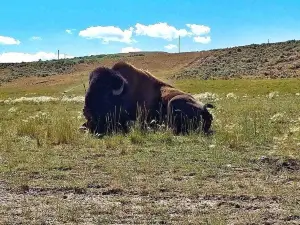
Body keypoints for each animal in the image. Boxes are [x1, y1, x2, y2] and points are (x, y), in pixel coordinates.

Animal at [79, 61, 214, 135]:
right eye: (90, 86)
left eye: (106, 93)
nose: (86, 111)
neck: (124, 93)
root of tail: (205, 109)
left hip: (173, 102)